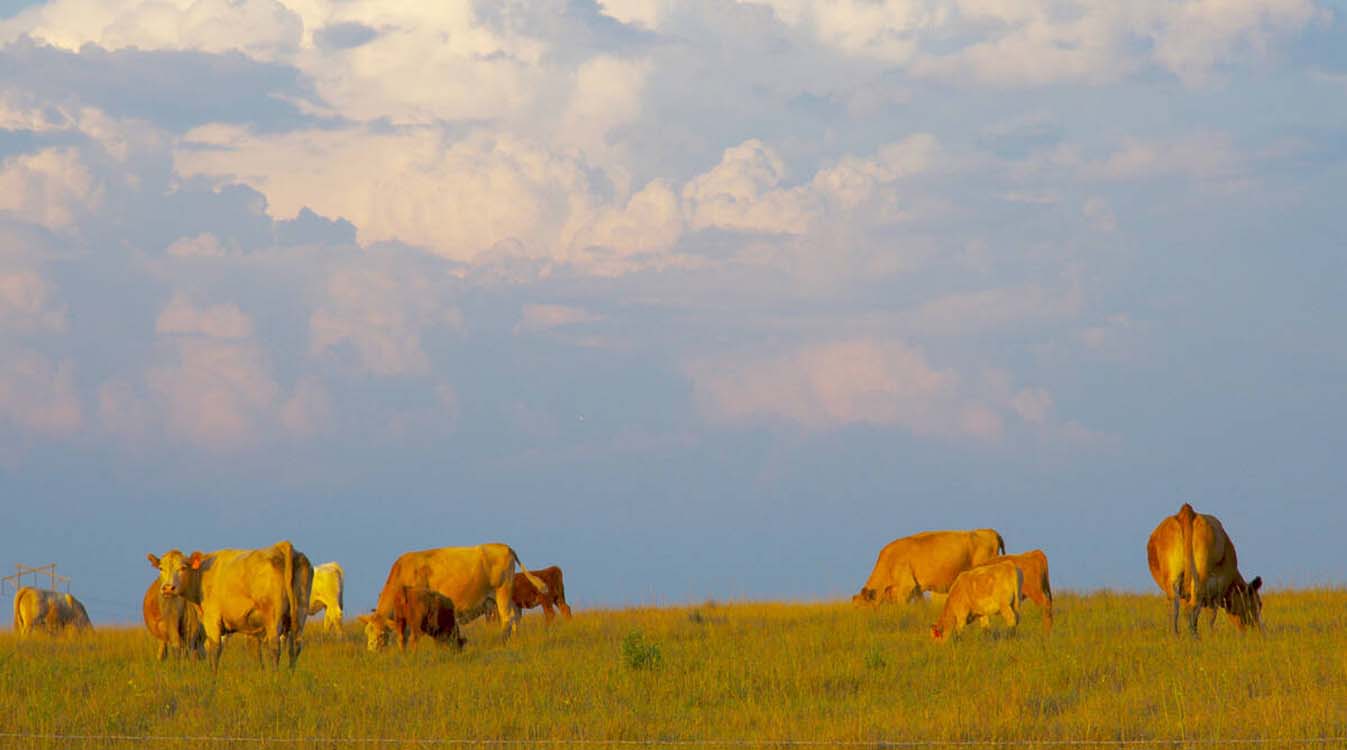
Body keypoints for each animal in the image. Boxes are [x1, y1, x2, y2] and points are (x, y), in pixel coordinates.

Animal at [147, 540, 314, 671]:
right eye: (161, 568)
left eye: (183, 567)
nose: (168, 588)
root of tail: (281, 546)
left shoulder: (212, 618)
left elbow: (214, 650)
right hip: (300, 612)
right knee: (295, 646)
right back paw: (290, 675)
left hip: (273, 616)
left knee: (274, 646)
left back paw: (274, 676)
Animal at [357, 543, 546, 652]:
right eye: (367, 632)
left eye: (381, 634)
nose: (372, 652)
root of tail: (504, 546)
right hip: (501, 597)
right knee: (516, 616)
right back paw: (514, 640)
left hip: (502, 592)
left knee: (508, 618)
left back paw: (502, 641)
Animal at [1148, 502, 1263, 636]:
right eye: (1258, 604)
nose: (1256, 630)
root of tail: (1187, 512)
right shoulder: (1216, 592)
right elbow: (1211, 617)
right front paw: (1211, 635)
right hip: (1200, 579)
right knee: (1191, 610)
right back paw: (1195, 637)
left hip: (1173, 581)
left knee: (1174, 609)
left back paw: (1176, 635)